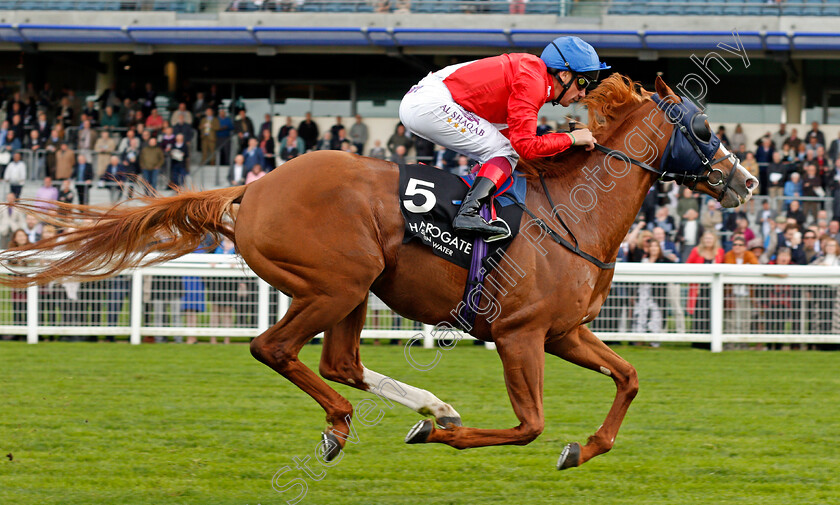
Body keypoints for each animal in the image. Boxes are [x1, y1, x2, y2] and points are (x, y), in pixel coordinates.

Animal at [0, 75, 756, 468]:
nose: (747, 180)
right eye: (700, 126)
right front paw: (445, 437)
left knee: (339, 361)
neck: (574, 212)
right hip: (337, 279)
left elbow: (629, 377)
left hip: (354, 288)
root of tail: (253, 188)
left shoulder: (563, 331)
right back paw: (351, 423)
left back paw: (426, 406)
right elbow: (529, 424)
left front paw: (587, 446)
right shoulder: (519, 334)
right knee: (276, 349)